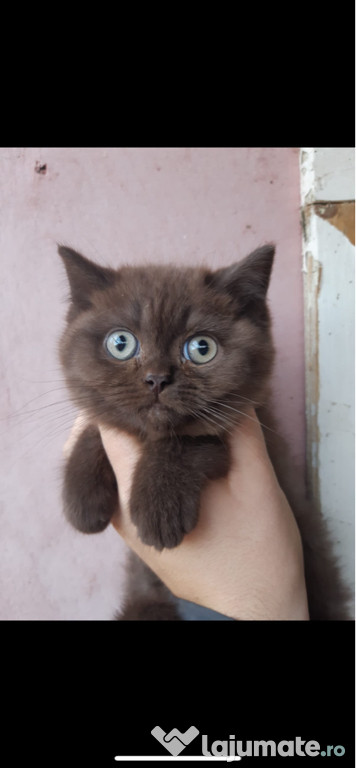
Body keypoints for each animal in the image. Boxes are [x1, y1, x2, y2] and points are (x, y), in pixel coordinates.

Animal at [58, 249, 350, 620]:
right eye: (120, 343)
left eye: (201, 348)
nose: (157, 378)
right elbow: (100, 424)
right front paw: (81, 497)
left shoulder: (256, 425)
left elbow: (189, 439)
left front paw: (159, 507)